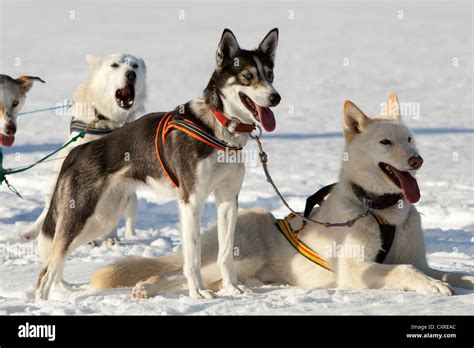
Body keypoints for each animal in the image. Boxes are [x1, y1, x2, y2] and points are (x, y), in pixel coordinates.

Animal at [91, 94, 474, 298]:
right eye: (385, 142)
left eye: (409, 139)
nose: (417, 159)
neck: (377, 209)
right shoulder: (357, 271)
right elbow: (405, 269)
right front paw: (433, 287)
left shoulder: (421, 259)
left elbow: (442, 272)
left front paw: (455, 281)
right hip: (235, 258)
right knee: (180, 271)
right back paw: (147, 288)